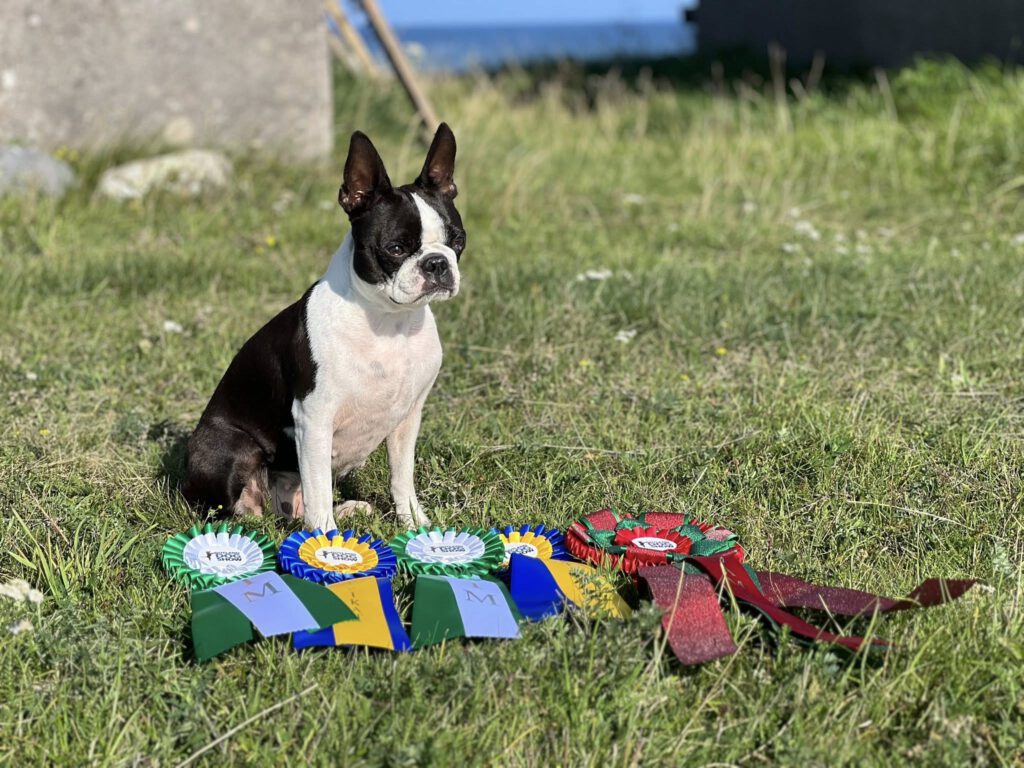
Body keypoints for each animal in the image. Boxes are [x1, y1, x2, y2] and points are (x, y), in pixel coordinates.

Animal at [182, 123, 464, 531]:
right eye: (396, 248)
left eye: (457, 241)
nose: (437, 263)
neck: (388, 322)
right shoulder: (314, 419)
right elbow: (318, 495)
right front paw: (328, 544)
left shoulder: (408, 417)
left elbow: (402, 477)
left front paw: (416, 525)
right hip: (230, 448)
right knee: (228, 507)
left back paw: (348, 509)